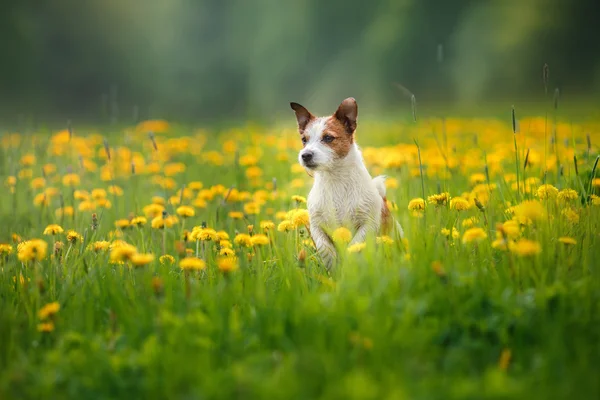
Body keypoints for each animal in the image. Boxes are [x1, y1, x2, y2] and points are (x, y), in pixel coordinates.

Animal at [290, 96, 404, 268]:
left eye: (328, 138)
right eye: (304, 140)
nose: (305, 155)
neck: (336, 179)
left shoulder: (368, 224)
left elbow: (355, 246)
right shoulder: (317, 226)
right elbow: (325, 248)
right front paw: (333, 265)